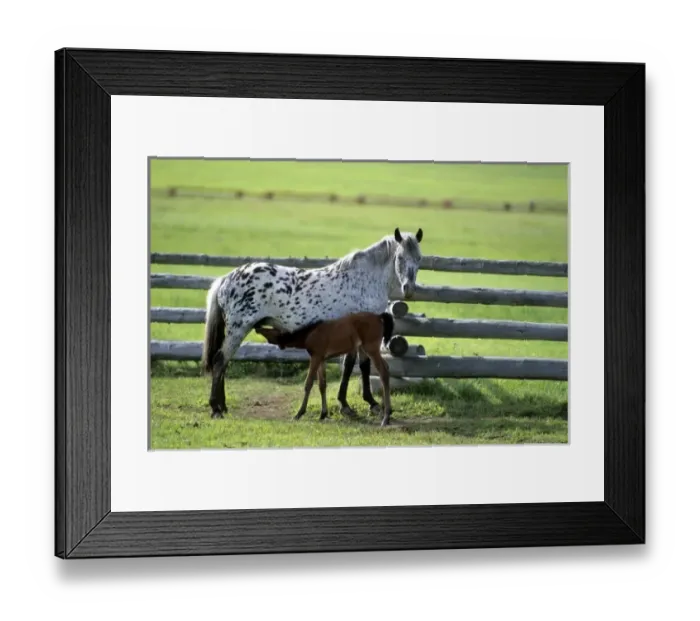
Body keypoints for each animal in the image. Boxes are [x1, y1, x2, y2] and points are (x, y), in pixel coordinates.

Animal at [255, 312, 395, 427]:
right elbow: (322, 384)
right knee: (386, 368)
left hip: (371, 348)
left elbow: (308, 383)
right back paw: (385, 412)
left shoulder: (315, 357)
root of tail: (379, 316)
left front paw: (299, 413)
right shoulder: (321, 359)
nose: (257, 327)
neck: (309, 334)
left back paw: (386, 417)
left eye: (269, 330)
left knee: (383, 371)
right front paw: (323, 414)